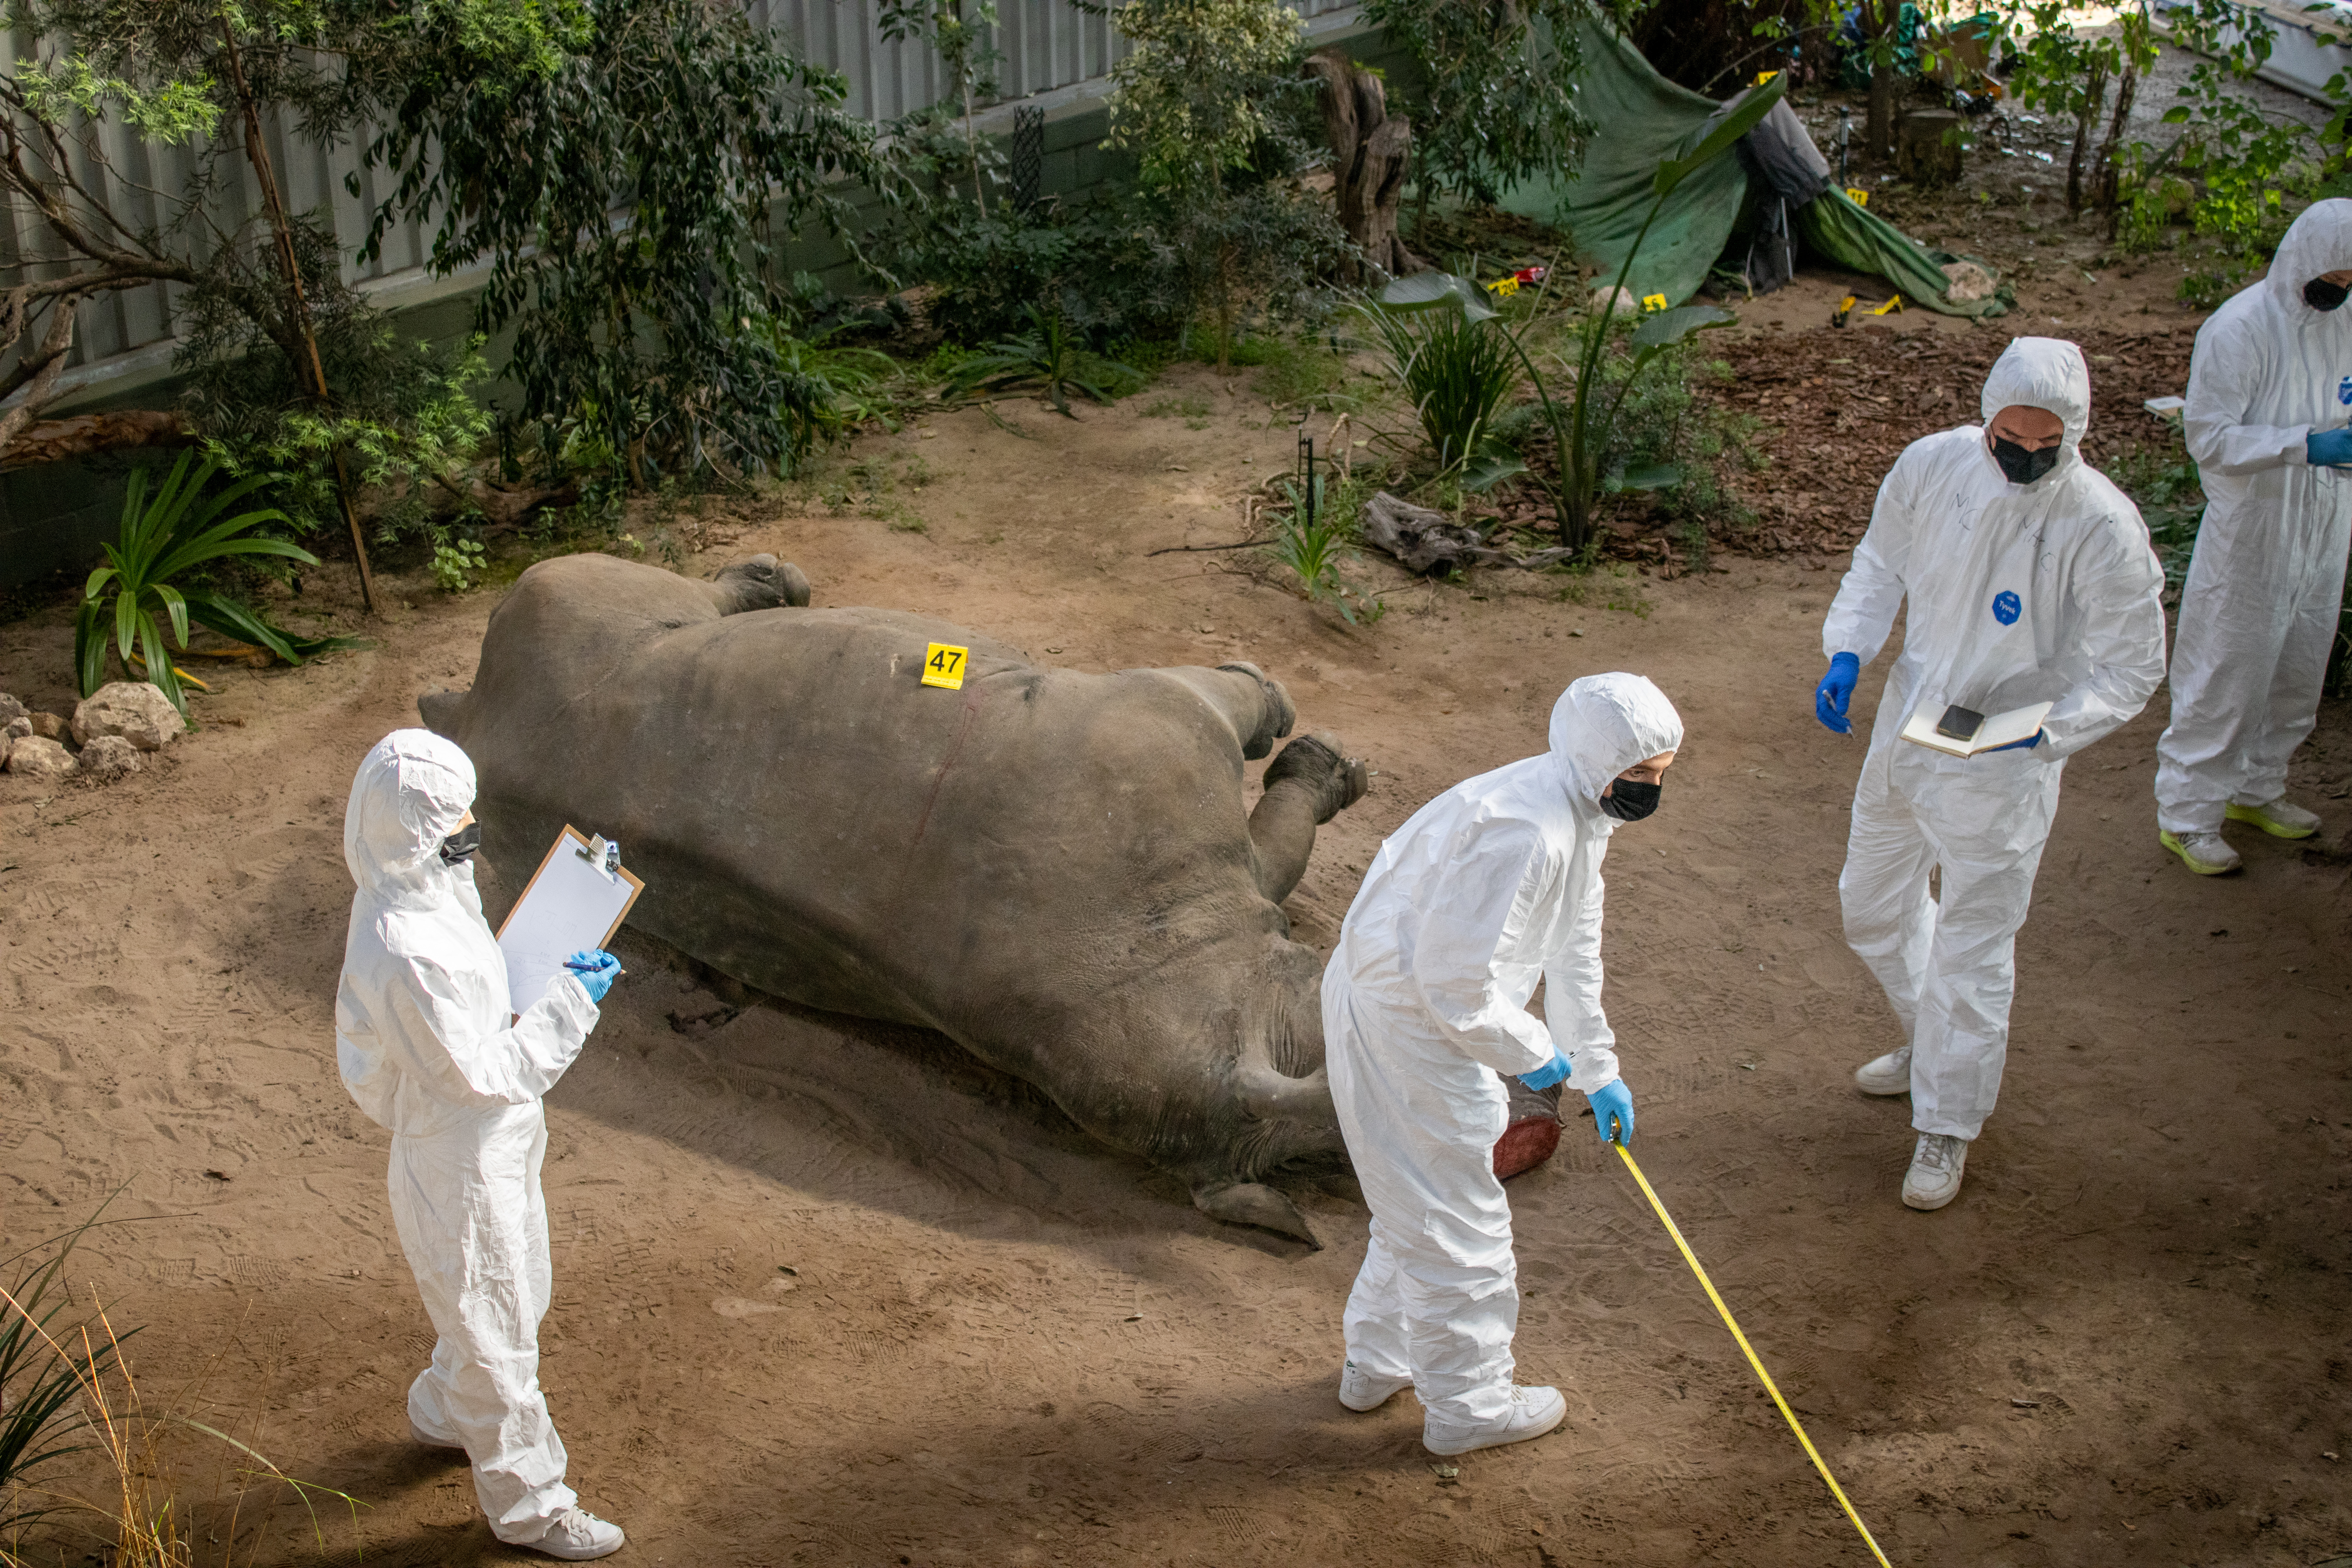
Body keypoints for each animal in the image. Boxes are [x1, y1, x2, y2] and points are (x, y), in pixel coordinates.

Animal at [419, 552, 1378, 1244]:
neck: (1218, 981)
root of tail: (467, 717)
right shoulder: (1172, 732)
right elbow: (1248, 726)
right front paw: (1305, 737)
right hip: (567, 614)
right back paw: (775, 584)